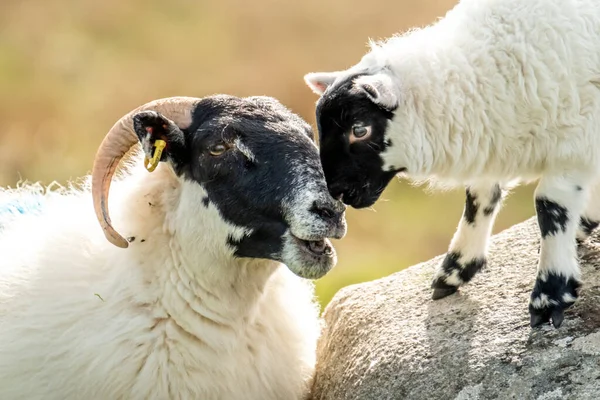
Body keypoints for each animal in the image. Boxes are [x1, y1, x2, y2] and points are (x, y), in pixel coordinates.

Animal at [302, 0, 600, 328]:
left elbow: (550, 208)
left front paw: (550, 295)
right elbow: (479, 200)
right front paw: (455, 271)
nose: (335, 192)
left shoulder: (575, 143)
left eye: (359, 129)